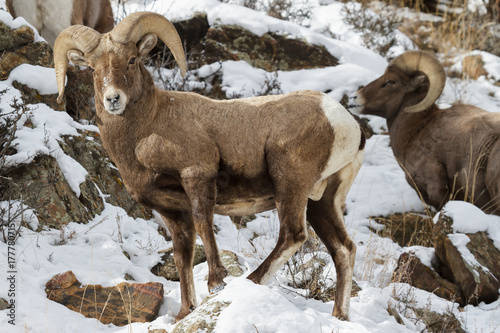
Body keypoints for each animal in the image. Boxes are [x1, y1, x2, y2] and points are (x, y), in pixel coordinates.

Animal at [54, 11, 366, 320]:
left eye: (131, 59)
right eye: (93, 69)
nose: (113, 99)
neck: (146, 131)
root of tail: (346, 124)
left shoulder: (197, 175)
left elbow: (204, 224)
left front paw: (217, 282)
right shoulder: (171, 210)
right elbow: (183, 255)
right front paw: (184, 312)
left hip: (291, 184)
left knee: (293, 235)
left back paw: (251, 280)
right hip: (321, 201)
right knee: (343, 249)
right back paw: (339, 315)